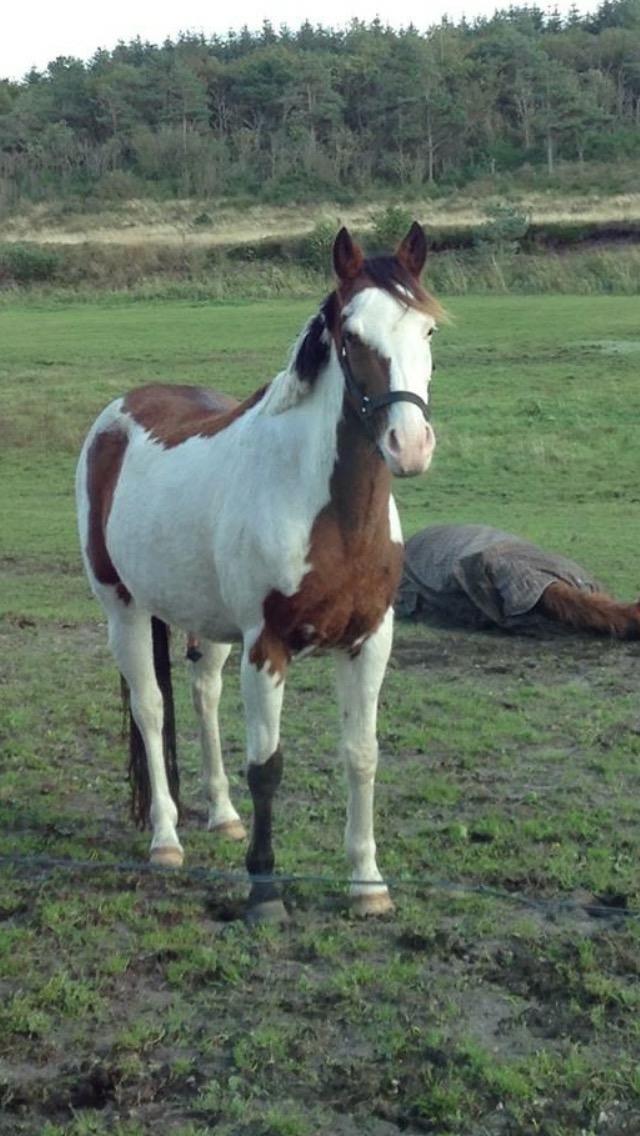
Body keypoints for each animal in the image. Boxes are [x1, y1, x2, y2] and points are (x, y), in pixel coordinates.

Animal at [76, 223, 441, 922]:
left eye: (428, 329)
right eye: (352, 335)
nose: (409, 446)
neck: (329, 512)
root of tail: (118, 415)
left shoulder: (368, 641)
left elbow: (362, 755)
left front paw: (367, 883)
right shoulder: (267, 647)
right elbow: (268, 767)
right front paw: (265, 892)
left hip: (210, 627)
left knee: (202, 696)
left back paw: (221, 816)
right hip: (123, 607)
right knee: (151, 708)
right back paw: (166, 839)